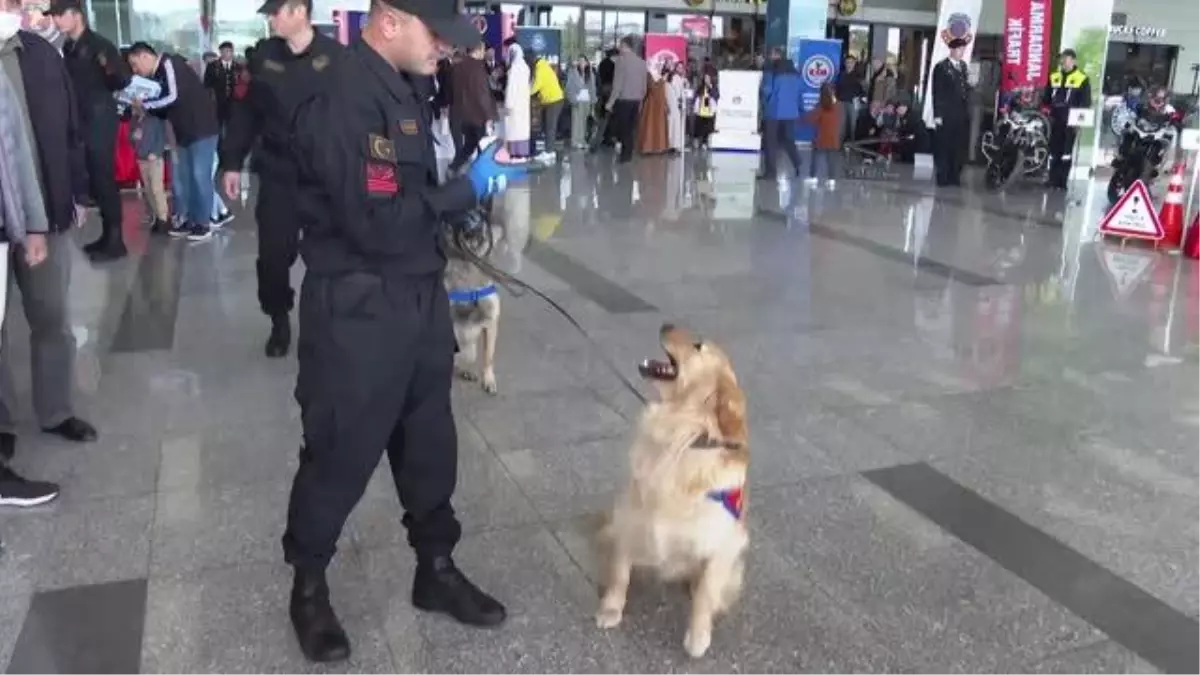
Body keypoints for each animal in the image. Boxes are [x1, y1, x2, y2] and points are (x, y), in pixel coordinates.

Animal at [592, 324, 744, 653]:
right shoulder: (630, 517)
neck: (679, 436)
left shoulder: (722, 540)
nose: (665, 324)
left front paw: (698, 636)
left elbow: (705, 595)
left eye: (698, 346)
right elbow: (620, 573)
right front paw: (611, 608)